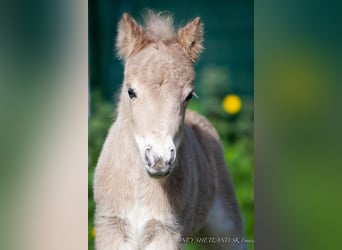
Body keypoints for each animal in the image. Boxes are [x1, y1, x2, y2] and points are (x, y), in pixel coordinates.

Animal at [93, 10, 246, 249]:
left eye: (189, 95)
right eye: (130, 91)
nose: (159, 159)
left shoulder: (167, 232)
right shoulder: (111, 228)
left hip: (227, 227)